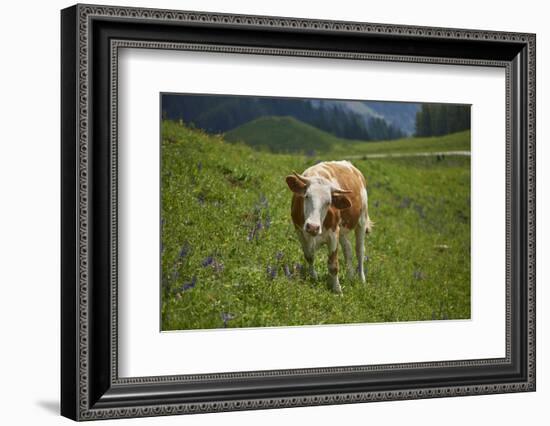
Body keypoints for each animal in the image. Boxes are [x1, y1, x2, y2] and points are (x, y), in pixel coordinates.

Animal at [286, 160, 374, 292]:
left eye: (328, 202)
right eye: (306, 196)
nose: (313, 226)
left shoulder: (333, 234)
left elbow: (333, 265)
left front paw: (337, 289)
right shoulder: (300, 231)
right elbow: (309, 256)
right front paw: (314, 277)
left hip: (362, 219)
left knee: (360, 251)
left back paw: (361, 279)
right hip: (342, 230)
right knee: (348, 249)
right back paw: (350, 276)